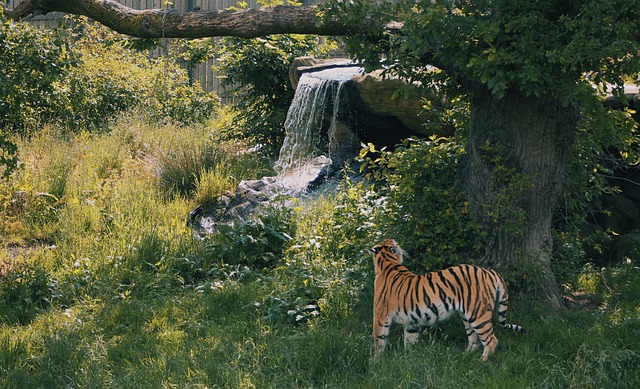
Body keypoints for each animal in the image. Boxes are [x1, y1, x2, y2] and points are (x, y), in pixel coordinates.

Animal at [370, 236, 524, 360]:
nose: (397, 242)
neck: (387, 262)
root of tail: (490, 271)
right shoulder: (411, 321)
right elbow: (409, 341)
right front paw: (409, 359)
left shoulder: (380, 316)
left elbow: (378, 341)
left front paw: (376, 363)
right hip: (466, 315)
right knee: (474, 339)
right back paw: (464, 357)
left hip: (478, 314)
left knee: (491, 340)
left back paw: (482, 361)